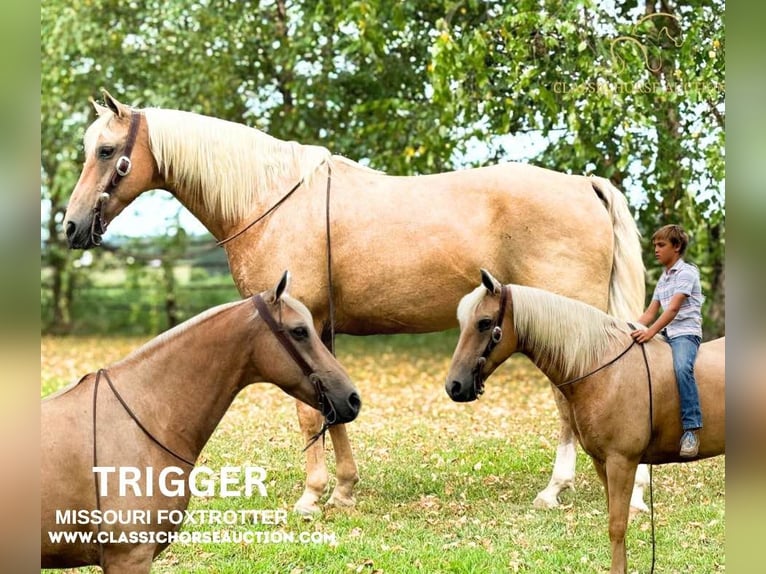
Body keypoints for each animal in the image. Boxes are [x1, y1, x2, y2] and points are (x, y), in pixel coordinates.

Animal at [63, 91, 652, 516]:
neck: (270, 199)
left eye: (106, 151)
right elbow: (331, 405)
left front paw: (311, 496)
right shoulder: (315, 330)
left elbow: (308, 414)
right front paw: (344, 490)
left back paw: (574, 489)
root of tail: (583, 185)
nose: (70, 226)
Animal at [444, 272, 728, 574]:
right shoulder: (602, 462)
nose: (455, 386)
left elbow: (617, 525)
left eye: (485, 322)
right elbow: (615, 522)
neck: (605, 369)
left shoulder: (622, 462)